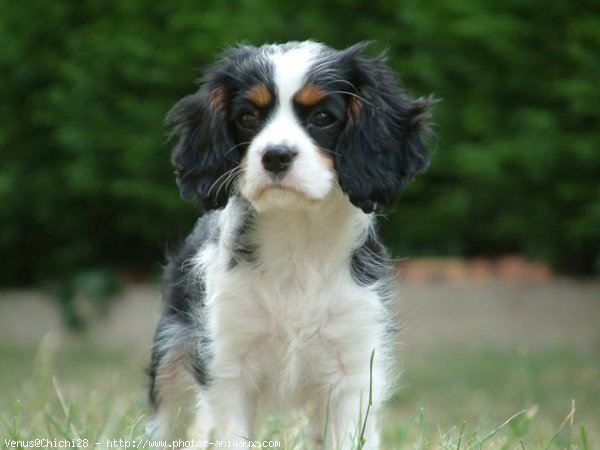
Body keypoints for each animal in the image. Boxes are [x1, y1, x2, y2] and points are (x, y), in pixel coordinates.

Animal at [148, 40, 434, 448]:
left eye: (323, 118)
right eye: (248, 117)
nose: (275, 155)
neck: (297, 233)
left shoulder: (353, 371)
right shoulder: (226, 365)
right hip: (172, 350)